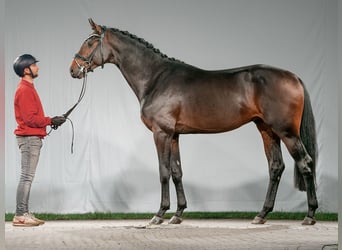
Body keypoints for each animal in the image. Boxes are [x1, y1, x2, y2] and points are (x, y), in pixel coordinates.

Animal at [69, 18, 318, 226]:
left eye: (90, 43)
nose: (73, 69)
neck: (156, 78)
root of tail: (294, 77)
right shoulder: (174, 135)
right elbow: (177, 171)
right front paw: (177, 214)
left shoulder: (161, 133)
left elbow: (163, 171)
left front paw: (159, 215)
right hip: (267, 130)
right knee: (276, 167)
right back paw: (261, 215)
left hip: (287, 132)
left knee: (305, 163)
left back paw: (309, 215)